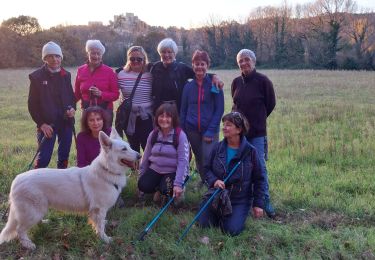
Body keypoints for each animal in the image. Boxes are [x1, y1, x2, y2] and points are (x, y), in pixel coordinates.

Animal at [0, 128, 140, 250]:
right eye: (124, 149)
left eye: (129, 146)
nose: (139, 155)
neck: (107, 170)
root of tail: (16, 180)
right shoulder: (99, 209)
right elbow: (100, 227)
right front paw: (105, 239)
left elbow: (98, 224)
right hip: (33, 212)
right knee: (19, 230)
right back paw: (28, 244)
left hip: (39, 210)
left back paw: (42, 223)